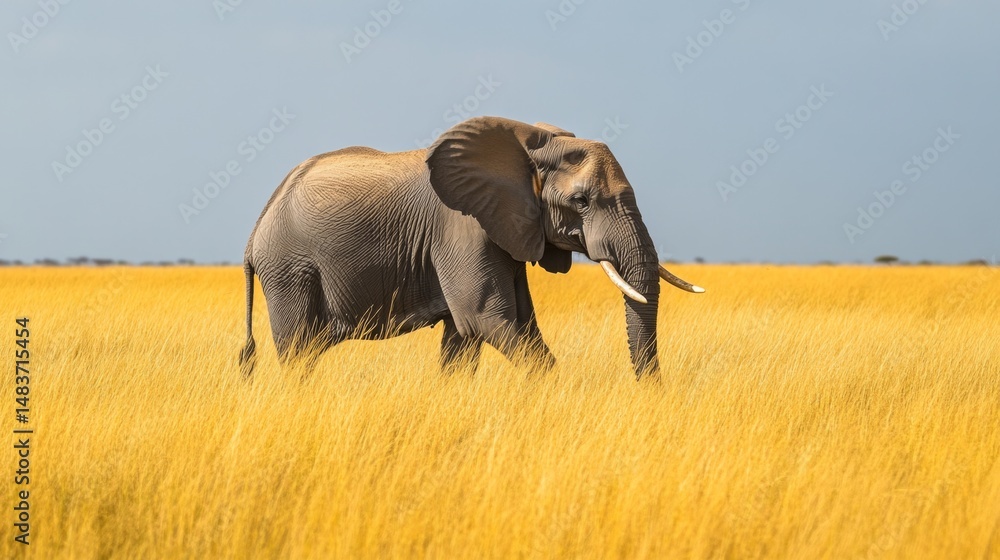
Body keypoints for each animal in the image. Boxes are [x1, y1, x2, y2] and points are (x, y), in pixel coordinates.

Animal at [238, 116, 703, 379]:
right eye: (581, 201)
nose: (650, 394)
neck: (532, 144)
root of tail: (254, 231)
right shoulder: (463, 228)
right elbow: (484, 319)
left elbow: (482, 332)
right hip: (290, 270)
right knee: (299, 350)